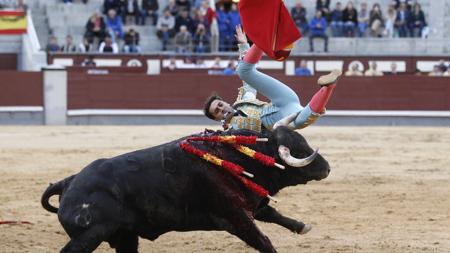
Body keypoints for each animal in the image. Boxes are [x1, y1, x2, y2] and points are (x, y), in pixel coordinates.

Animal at [41, 127, 330, 252]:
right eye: (299, 149)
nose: (326, 167)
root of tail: (69, 182)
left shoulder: (250, 204)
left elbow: (273, 214)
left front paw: (301, 226)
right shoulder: (235, 216)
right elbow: (264, 241)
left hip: (125, 236)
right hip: (89, 235)